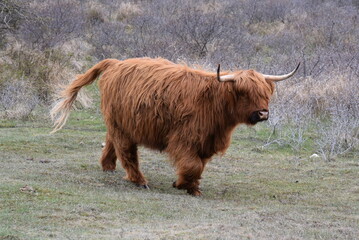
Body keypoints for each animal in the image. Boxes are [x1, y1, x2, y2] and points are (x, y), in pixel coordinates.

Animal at [50, 57, 298, 195]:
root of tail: (116, 63)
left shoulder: (206, 141)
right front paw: (182, 185)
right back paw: (139, 181)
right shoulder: (184, 138)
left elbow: (199, 165)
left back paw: (108, 166)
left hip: (122, 122)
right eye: (244, 93)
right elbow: (192, 164)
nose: (263, 112)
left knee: (112, 141)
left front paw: (193, 187)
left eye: (266, 93)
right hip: (121, 124)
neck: (214, 105)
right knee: (126, 150)